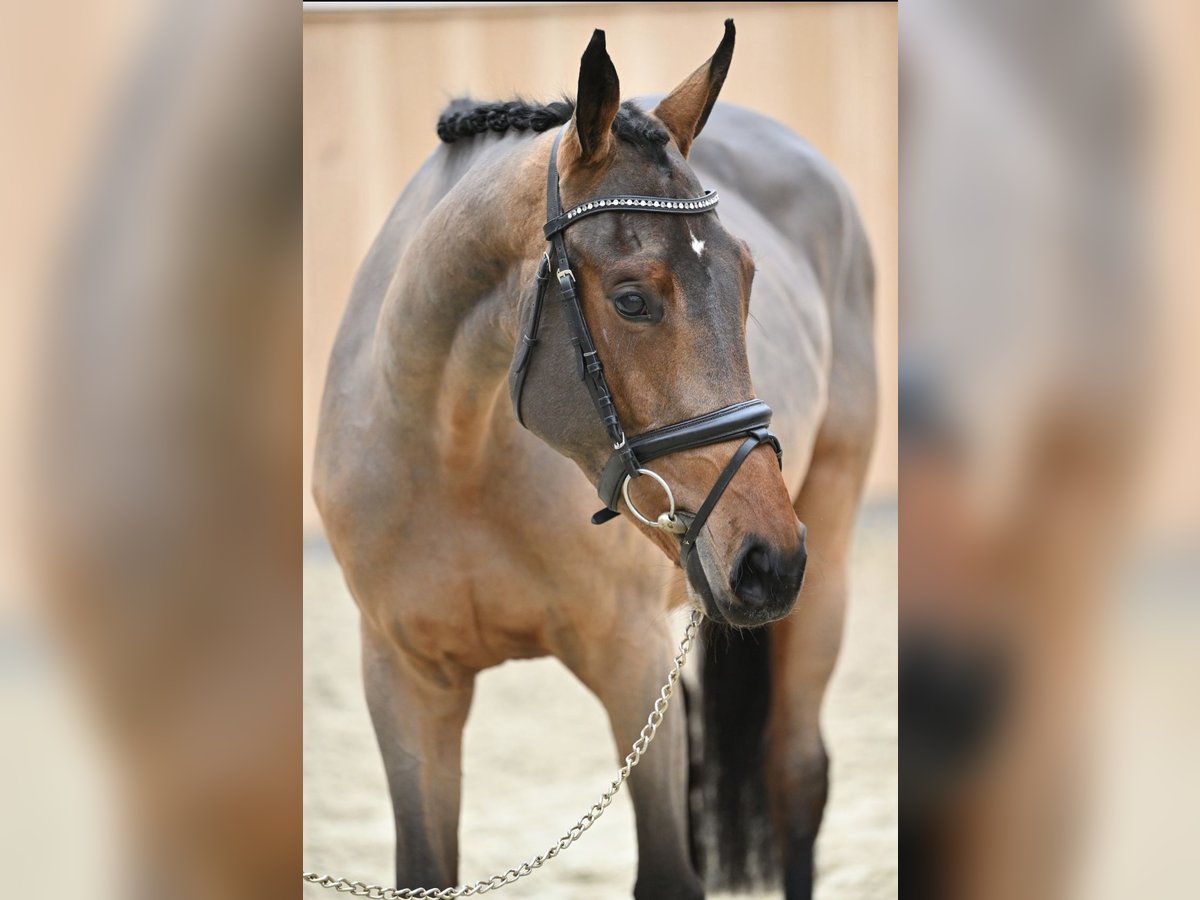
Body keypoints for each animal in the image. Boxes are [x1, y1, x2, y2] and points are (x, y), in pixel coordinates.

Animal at [309, 21, 878, 900]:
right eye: (631, 299)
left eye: (747, 278)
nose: (768, 561)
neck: (452, 453)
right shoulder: (405, 683)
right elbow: (424, 868)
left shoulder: (630, 660)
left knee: (797, 774)